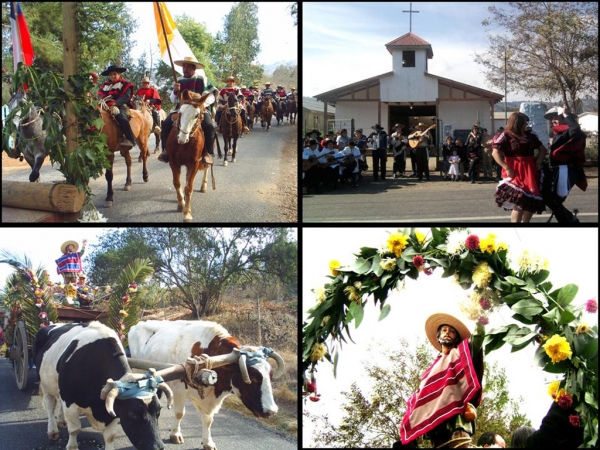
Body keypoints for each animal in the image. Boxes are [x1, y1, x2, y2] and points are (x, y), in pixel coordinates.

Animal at [169, 89, 213, 221]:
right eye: (180, 112)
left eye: (196, 115)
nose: (182, 138)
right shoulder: (173, 162)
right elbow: (177, 183)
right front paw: (180, 203)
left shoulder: (193, 164)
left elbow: (189, 188)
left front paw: (187, 213)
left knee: (207, 166)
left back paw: (204, 186)